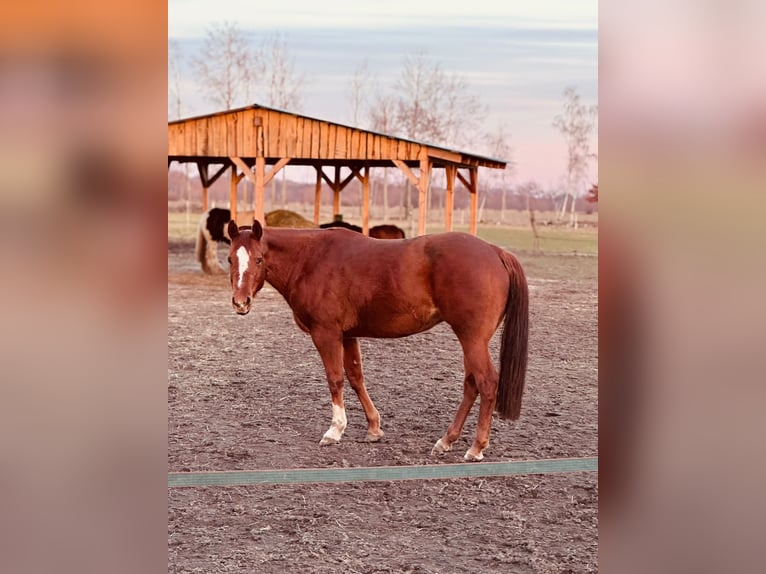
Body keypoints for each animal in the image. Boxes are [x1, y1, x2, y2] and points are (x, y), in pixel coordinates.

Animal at [226, 219, 529, 462]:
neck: (311, 259)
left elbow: (335, 378)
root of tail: (495, 252)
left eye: (259, 259)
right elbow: (355, 377)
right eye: (230, 259)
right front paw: (373, 428)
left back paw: (476, 447)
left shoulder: (326, 333)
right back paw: (446, 440)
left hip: (472, 339)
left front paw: (335, 430)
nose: (241, 302)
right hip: (471, 340)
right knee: (471, 384)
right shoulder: (348, 335)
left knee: (486, 382)